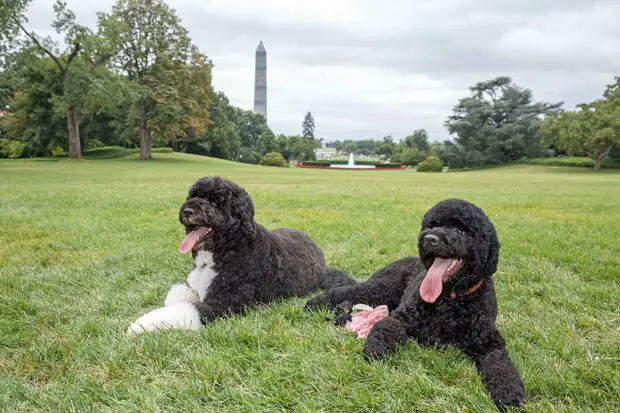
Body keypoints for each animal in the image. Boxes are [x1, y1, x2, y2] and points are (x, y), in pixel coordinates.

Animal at [128, 175, 352, 334]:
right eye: (193, 195)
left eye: (216, 202)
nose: (188, 210)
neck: (228, 248)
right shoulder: (193, 285)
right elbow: (177, 296)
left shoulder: (225, 302)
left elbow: (186, 309)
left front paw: (141, 324)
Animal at [308, 199, 524, 408]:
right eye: (433, 225)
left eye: (462, 231)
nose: (430, 239)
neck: (449, 299)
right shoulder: (401, 318)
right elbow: (385, 328)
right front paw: (376, 349)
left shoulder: (490, 343)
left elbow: (501, 366)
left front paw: (509, 393)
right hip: (380, 289)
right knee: (347, 291)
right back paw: (314, 303)